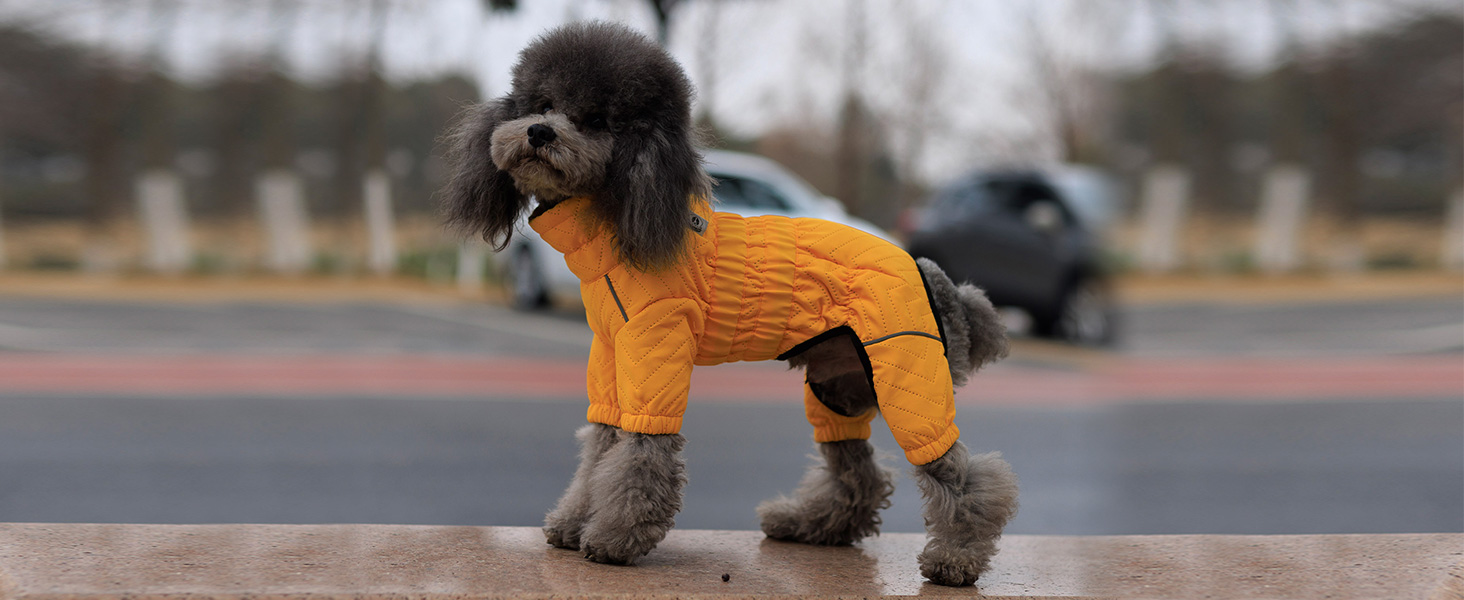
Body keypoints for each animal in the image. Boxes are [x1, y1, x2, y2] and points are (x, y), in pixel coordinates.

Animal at [442, 23, 1018, 585]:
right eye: (540, 104)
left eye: (597, 121)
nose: (540, 132)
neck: (614, 223)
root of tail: (937, 278)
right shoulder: (611, 357)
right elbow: (601, 445)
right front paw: (572, 520)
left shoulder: (656, 351)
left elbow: (641, 450)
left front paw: (615, 538)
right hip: (839, 384)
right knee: (859, 470)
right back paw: (812, 525)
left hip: (906, 372)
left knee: (958, 470)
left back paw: (956, 558)